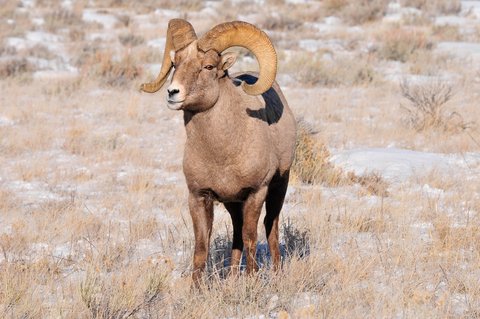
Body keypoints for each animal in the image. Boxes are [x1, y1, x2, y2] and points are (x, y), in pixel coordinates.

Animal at [139, 18, 296, 286]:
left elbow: (251, 237)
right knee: (237, 234)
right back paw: (232, 278)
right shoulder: (199, 197)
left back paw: (276, 273)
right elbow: (202, 247)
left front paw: (251, 281)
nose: (173, 93)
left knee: (270, 227)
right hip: (233, 204)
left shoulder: (256, 193)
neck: (222, 154)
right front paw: (197, 289)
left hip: (278, 188)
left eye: (208, 66)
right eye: (175, 63)